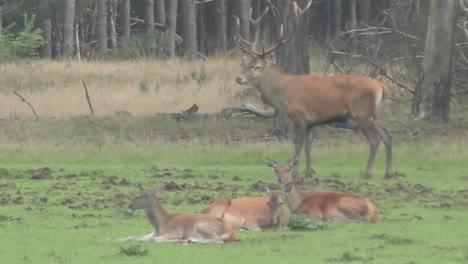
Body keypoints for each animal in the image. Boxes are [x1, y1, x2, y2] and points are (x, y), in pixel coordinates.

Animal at [234, 0, 392, 179]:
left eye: (257, 67)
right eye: (247, 63)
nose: (238, 78)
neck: (283, 93)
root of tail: (381, 87)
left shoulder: (300, 117)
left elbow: (298, 146)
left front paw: (295, 173)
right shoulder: (312, 122)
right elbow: (309, 147)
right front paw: (309, 173)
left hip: (362, 113)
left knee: (375, 140)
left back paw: (367, 173)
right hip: (375, 114)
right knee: (388, 136)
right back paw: (388, 173)